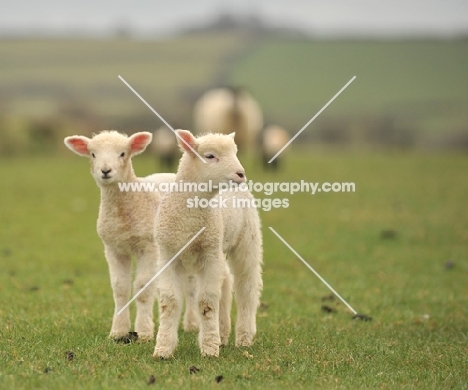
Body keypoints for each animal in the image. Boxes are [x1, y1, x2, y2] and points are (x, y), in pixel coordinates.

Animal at [64, 131, 176, 342]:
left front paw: (144, 332)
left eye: (123, 153)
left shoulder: (148, 247)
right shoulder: (113, 248)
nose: (105, 170)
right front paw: (118, 331)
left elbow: (142, 287)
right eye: (92, 154)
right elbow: (120, 288)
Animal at [154, 129, 264, 358]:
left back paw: (243, 337)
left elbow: (206, 302)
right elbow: (169, 302)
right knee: (227, 281)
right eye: (210, 156)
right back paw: (223, 333)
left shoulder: (209, 255)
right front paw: (163, 348)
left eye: (235, 152)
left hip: (246, 239)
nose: (241, 174)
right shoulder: (168, 255)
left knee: (247, 287)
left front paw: (210, 348)